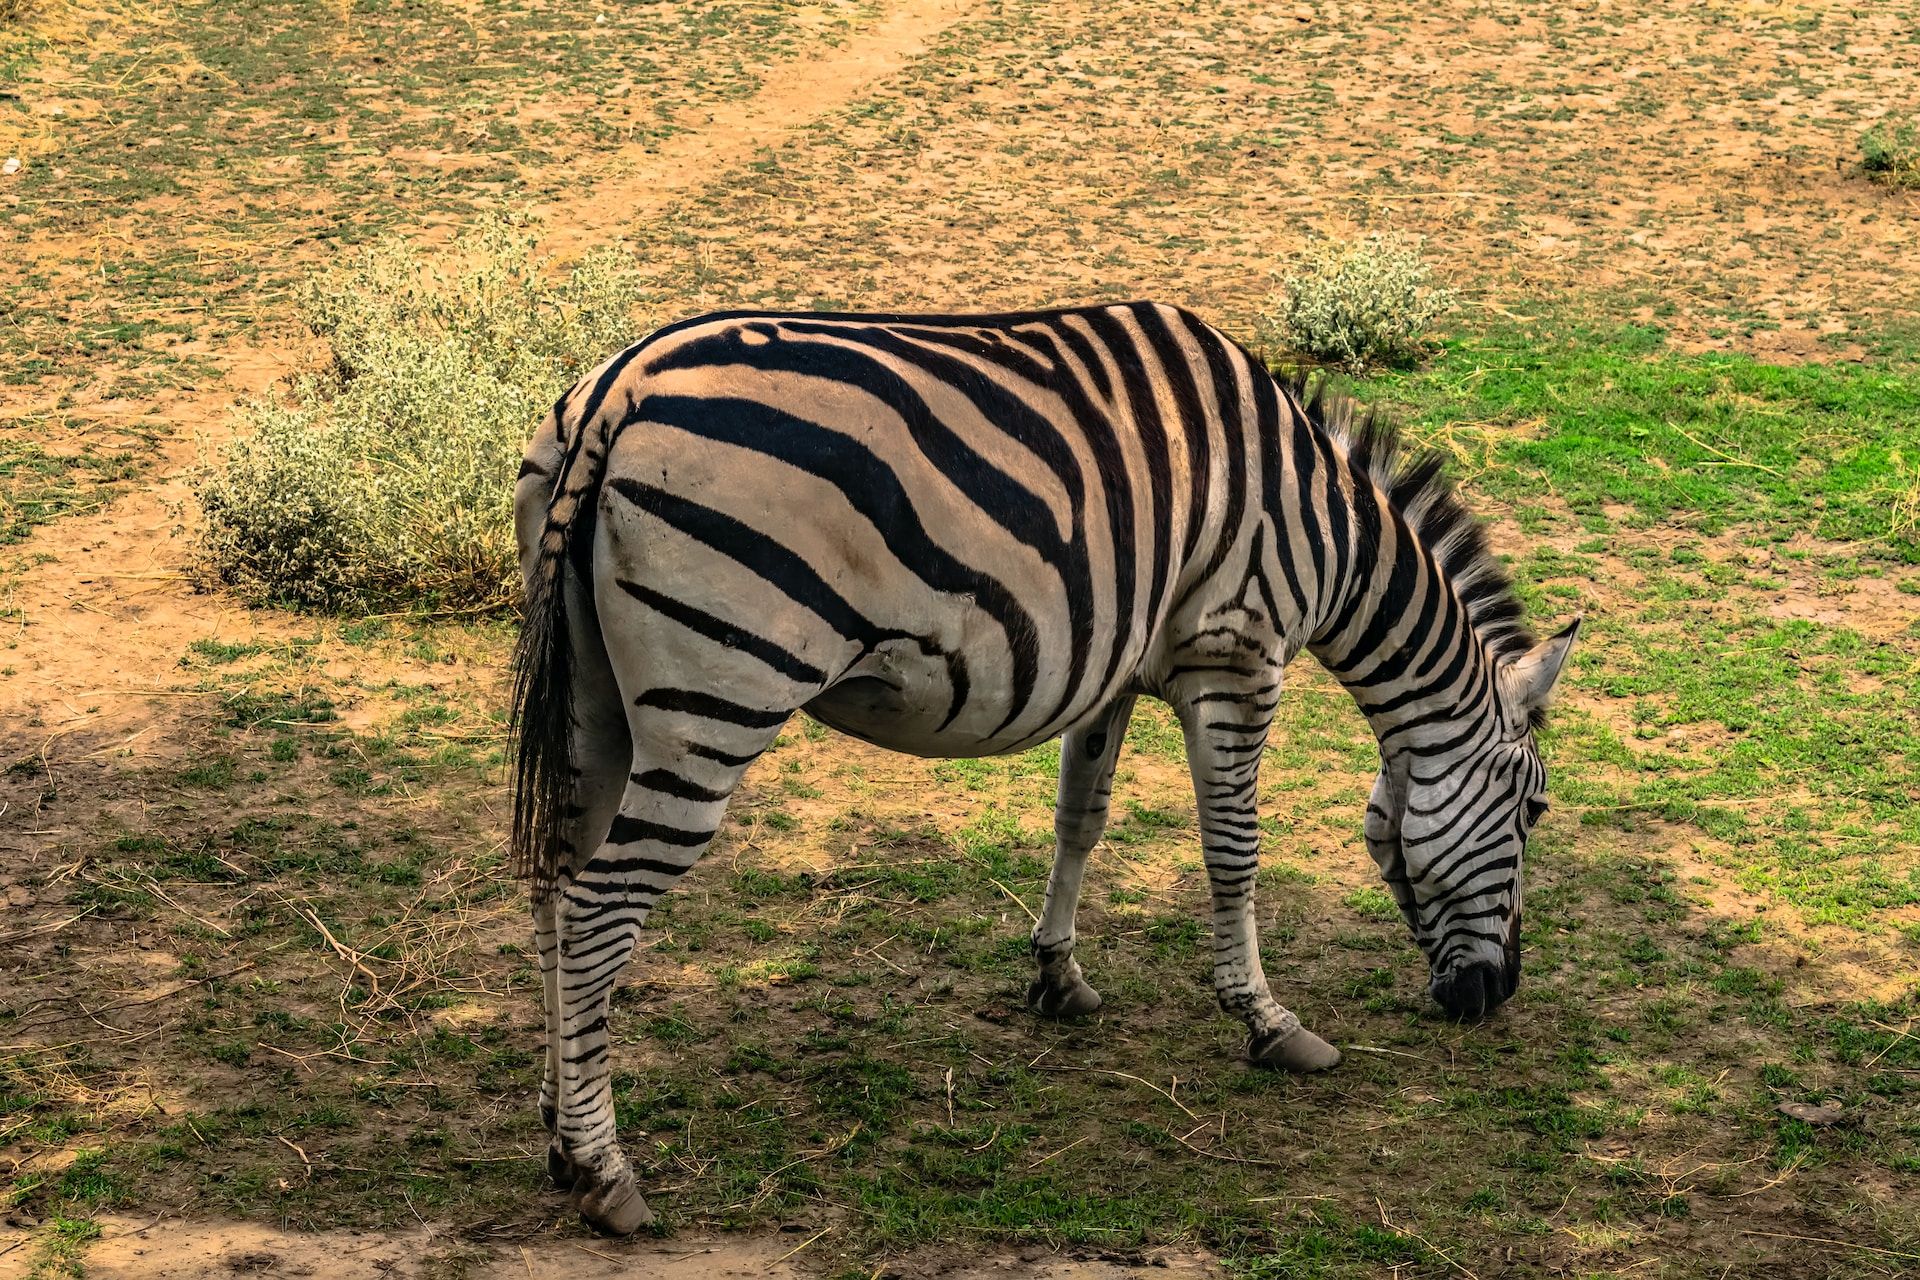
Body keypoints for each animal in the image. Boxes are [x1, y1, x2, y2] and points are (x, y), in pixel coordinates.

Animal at [506, 297, 1574, 1228]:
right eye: (1534, 813)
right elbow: (1235, 851)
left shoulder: (1114, 665)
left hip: (594, 698)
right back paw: (605, 1174)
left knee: (554, 882)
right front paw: (1269, 1023)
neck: (1329, 528)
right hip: (718, 700)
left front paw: (1057, 976)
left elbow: (1081, 818)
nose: (1496, 998)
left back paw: (560, 1132)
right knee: (600, 906)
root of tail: (617, 392)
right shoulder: (1235, 651)